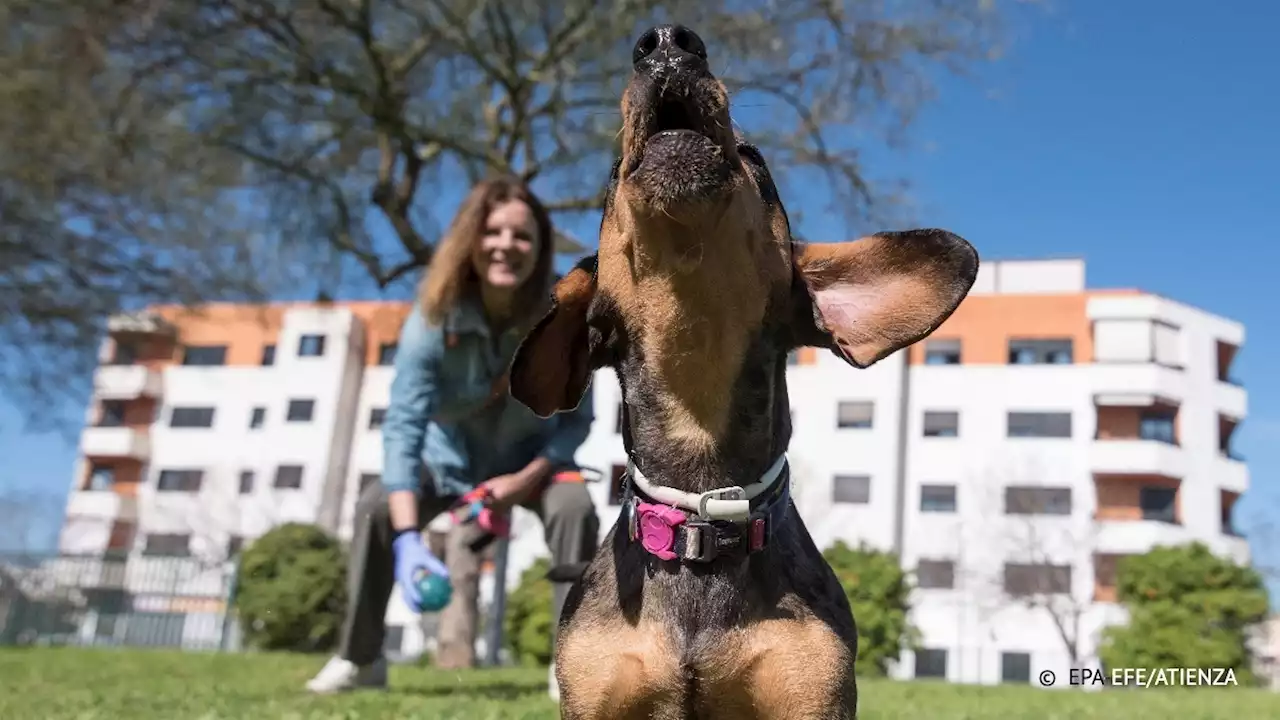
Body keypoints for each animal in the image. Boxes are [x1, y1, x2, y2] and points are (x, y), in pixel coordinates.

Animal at [504, 22, 972, 717]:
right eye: (613, 176)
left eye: (757, 160)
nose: (667, 41)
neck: (701, 526)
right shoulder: (594, 695)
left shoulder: (812, 693)